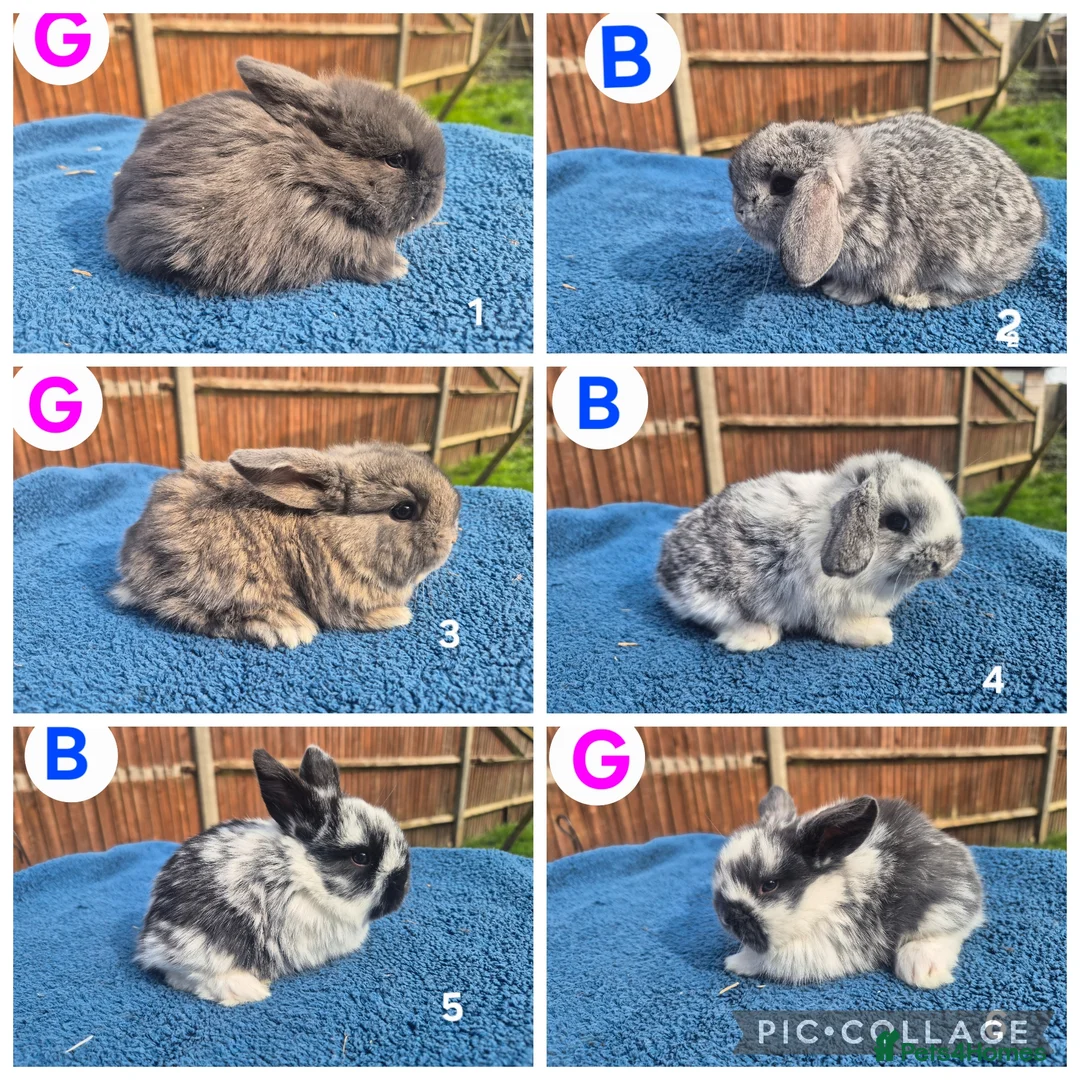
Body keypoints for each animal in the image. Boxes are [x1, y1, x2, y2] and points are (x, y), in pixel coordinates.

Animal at [107, 56, 446, 296]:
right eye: (395, 160)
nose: (437, 197)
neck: (312, 169)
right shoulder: (332, 236)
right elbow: (365, 255)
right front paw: (398, 267)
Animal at [657, 451, 963, 652]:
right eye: (897, 522)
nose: (946, 560)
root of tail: (663, 570)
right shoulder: (831, 606)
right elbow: (838, 627)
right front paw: (878, 633)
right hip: (717, 597)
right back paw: (754, 638)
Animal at [712, 786, 984, 988]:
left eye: (769, 885)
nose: (726, 919)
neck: (828, 897)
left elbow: (763, 961)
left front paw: (734, 962)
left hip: (943, 906)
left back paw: (922, 970)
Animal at [728, 113, 1046, 309]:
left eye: (782, 185)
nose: (740, 210)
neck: (855, 200)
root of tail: (1035, 225)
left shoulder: (883, 259)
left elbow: (869, 287)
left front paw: (839, 293)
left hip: (966, 262)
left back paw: (916, 299)